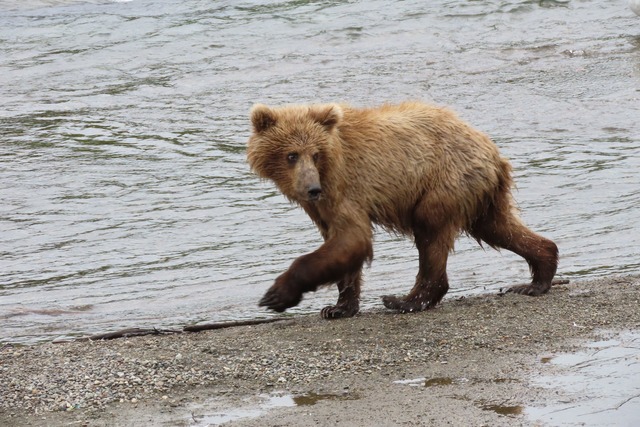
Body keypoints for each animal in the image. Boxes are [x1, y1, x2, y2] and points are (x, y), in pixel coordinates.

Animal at [248, 102, 556, 320]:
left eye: (315, 153)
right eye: (291, 155)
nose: (312, 188)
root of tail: (493, 151)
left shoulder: (344, 186)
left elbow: (353, 238)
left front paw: (277, 294)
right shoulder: (323, 205)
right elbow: (339, 244)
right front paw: (338, 308)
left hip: (444, 182)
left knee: (430, 232)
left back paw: (405, 300)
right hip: (479, 194)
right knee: (499, 228)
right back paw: (537, 277)